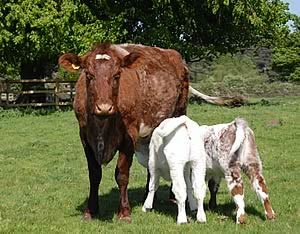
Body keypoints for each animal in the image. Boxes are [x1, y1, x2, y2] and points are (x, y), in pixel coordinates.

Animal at [58, 43, 189, 221]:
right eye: (89, 75)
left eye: (117, 75)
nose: (104, 107)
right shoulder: (85, 138)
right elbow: (94, 174)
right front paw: (91, 210)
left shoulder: (129, 136)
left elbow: (122, 174)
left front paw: (124, 211)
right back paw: (148, 195)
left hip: (178, 114)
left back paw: (173, 196)